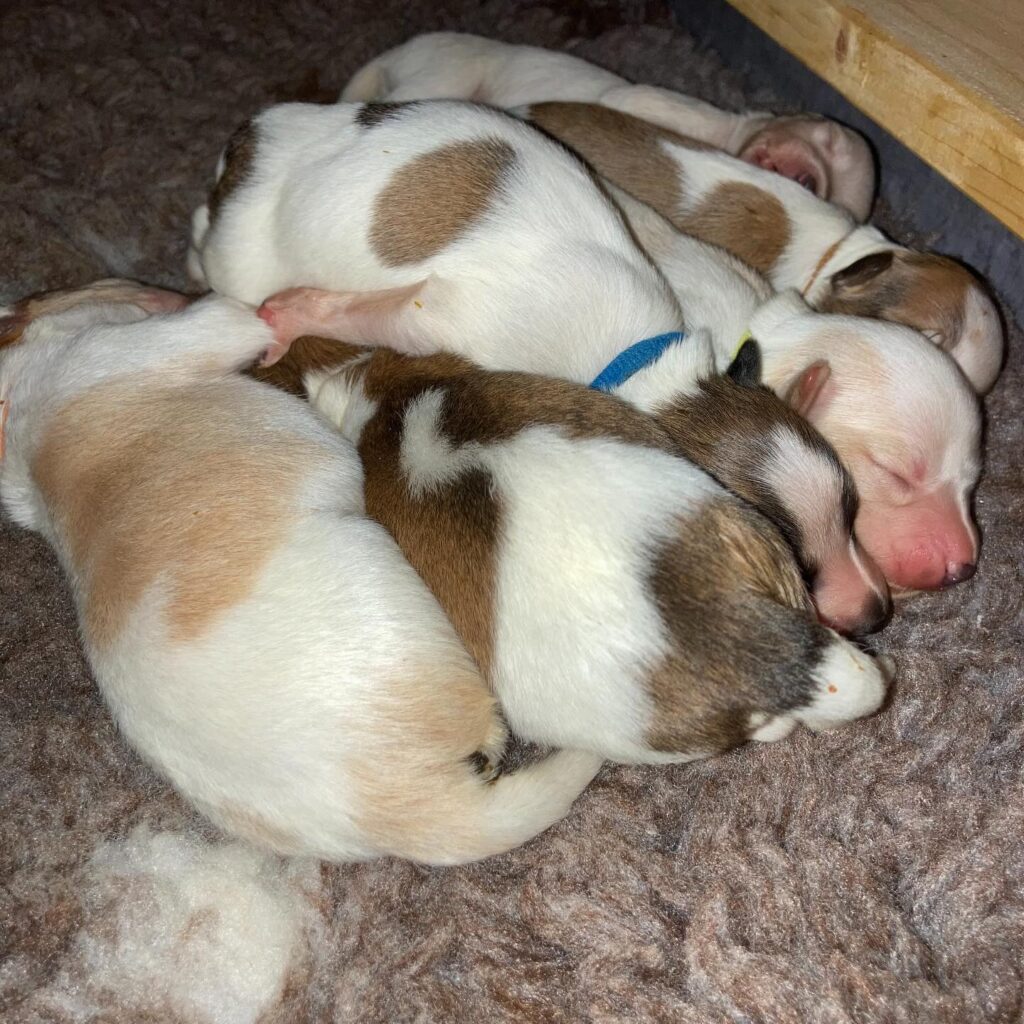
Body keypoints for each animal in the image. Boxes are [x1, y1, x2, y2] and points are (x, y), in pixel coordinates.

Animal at [0, 281, 602, 865]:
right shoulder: (174, 335)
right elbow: (233, 316)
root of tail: (416, 818)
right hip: (379, 565)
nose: (165, 293)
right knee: (487, 728)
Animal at [340, 31, 875, 220]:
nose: (805, 177)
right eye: (826, 138)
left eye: (829, 196)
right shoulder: (651, 101)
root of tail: (402, 51)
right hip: (445, 71)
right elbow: (628, 98)